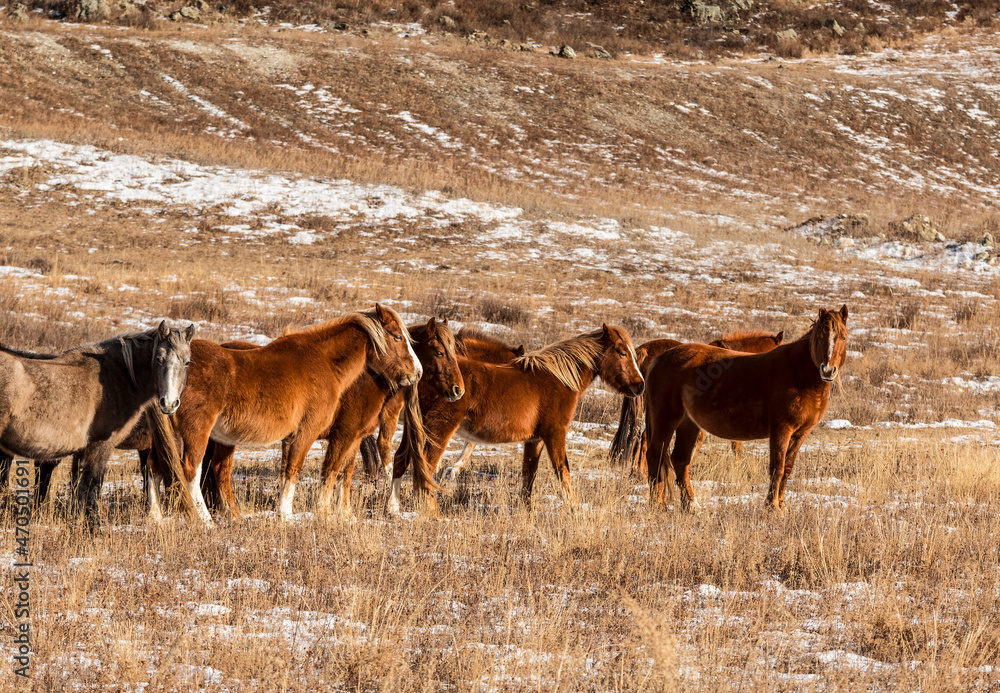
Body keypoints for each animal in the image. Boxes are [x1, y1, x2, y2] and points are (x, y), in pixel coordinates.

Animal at [0, 322, 196, 524]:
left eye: (187, 362)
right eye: (158, 359)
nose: (169, 403)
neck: (117, 376)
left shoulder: (82, 451)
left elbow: (79, 491)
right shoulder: (101, 445)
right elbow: (92, 488)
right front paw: (92, 527)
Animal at [146, 304, 422, 525]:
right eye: (398, 337)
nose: (417, 372)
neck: (323, 361)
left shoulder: (314, 438)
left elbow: (308, 472)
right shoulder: (313, 433)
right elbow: (306, 471)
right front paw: (294, 515)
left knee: (158, 467)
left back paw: (157, 517)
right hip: (196, 434)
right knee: (190, 471)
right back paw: (205, 520)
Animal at [389, 324, 645, 515]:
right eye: (622, 352)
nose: (640, 385)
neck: (558, 379)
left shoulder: (535, 440)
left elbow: (528, 474)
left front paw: (526, 509)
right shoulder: (555, 434)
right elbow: (563, 471)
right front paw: (574, 509)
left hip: (415, 428)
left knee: (402, 459)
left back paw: (394, 508)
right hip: (439, 428)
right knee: (426, 466)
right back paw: (431, 511)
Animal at [643, 306, 848, 512]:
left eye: (844, 337)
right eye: (820, 336)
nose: (828, 370)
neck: (799, 374)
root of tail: (659, 359)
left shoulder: (800, 433)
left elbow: (788, 469)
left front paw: (782, 506)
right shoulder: (782, 429)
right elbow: (777, 468)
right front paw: (772, 507)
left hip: (689, 424)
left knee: (680, 460)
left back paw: (692, 506)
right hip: (666, 421)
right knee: (655, 456)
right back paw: (659, 505)